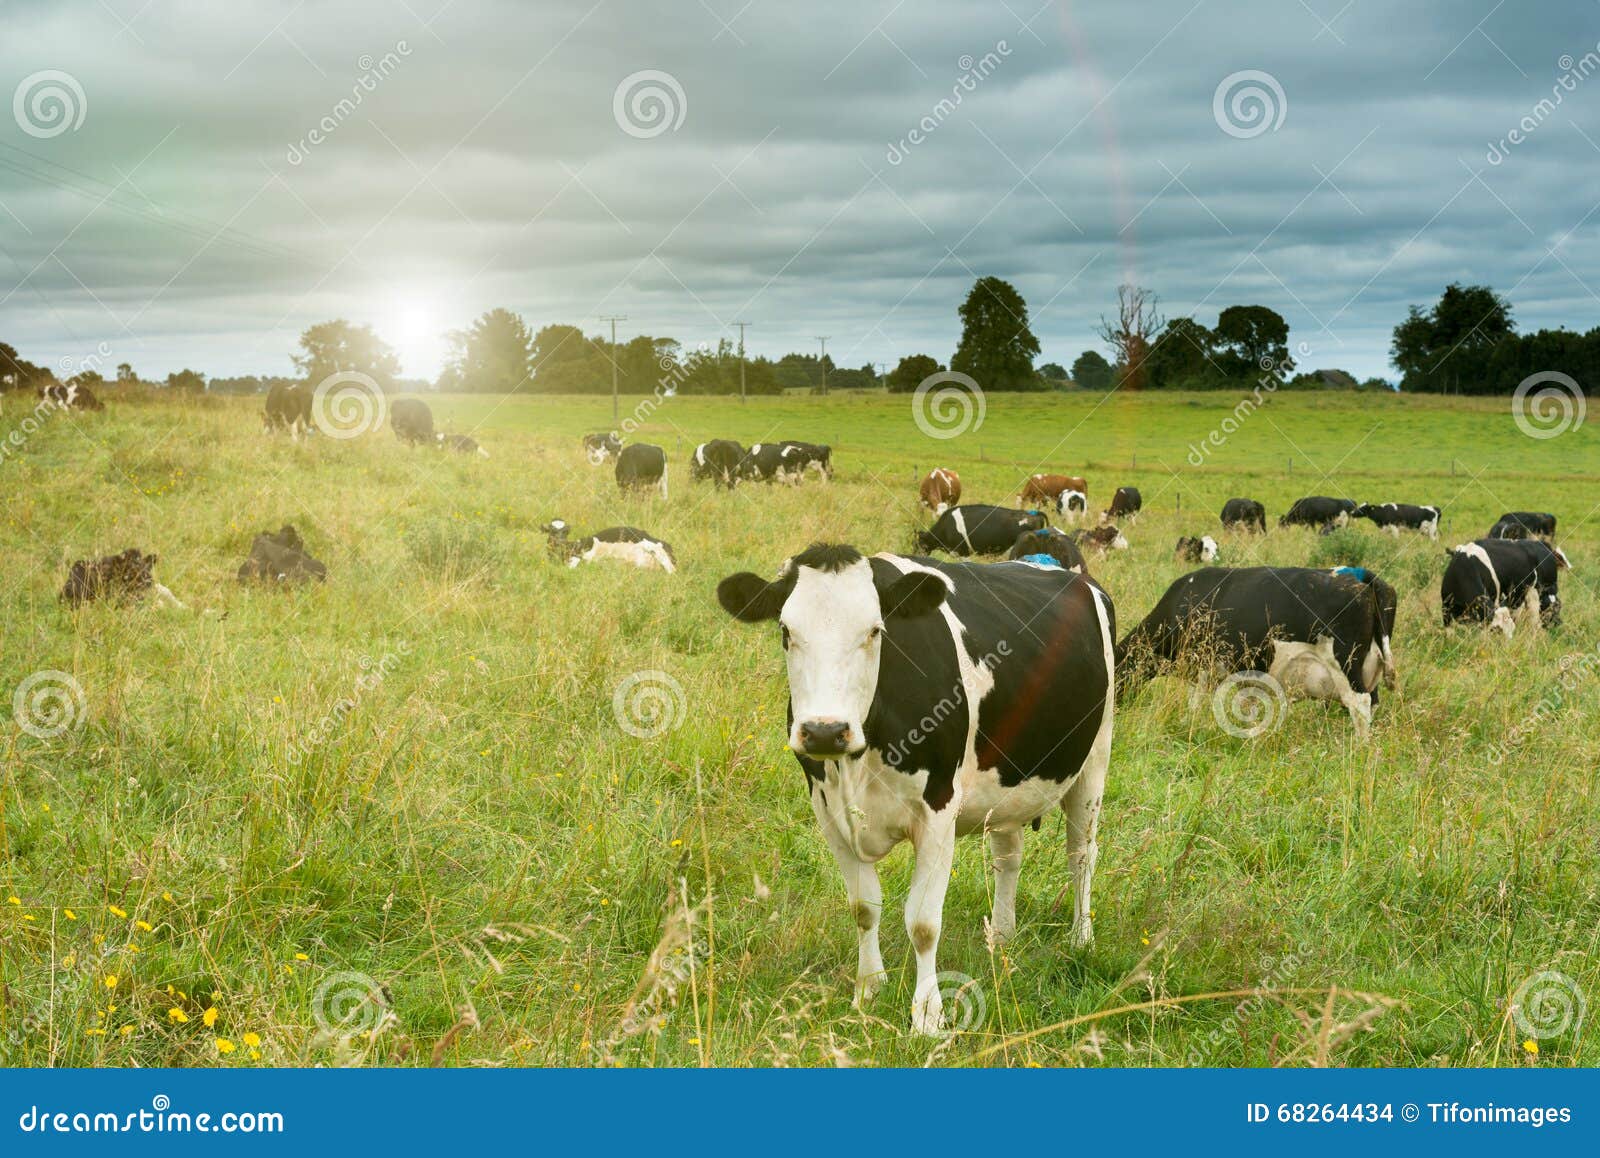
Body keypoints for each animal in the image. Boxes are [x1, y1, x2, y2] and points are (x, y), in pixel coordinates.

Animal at [715, 543, 1116, 1035]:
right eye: (786, 631)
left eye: (874, 631)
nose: (825, 731)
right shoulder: (827, 810)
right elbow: (864, 907)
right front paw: (868, 989)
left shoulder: (939, 811)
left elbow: (923, 923)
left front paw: (927, 1016)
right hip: (1007, 782)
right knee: (1008, 856)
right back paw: (1002, 936)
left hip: (1094, 760)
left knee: (1082, 855)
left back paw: (1081, 939)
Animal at [1116, 566, 1394, 712]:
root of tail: (1361, 576)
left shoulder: (1204, 665)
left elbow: (1195, 704)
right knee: (1372, 701)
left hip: (1346, 662)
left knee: (1360, 702)